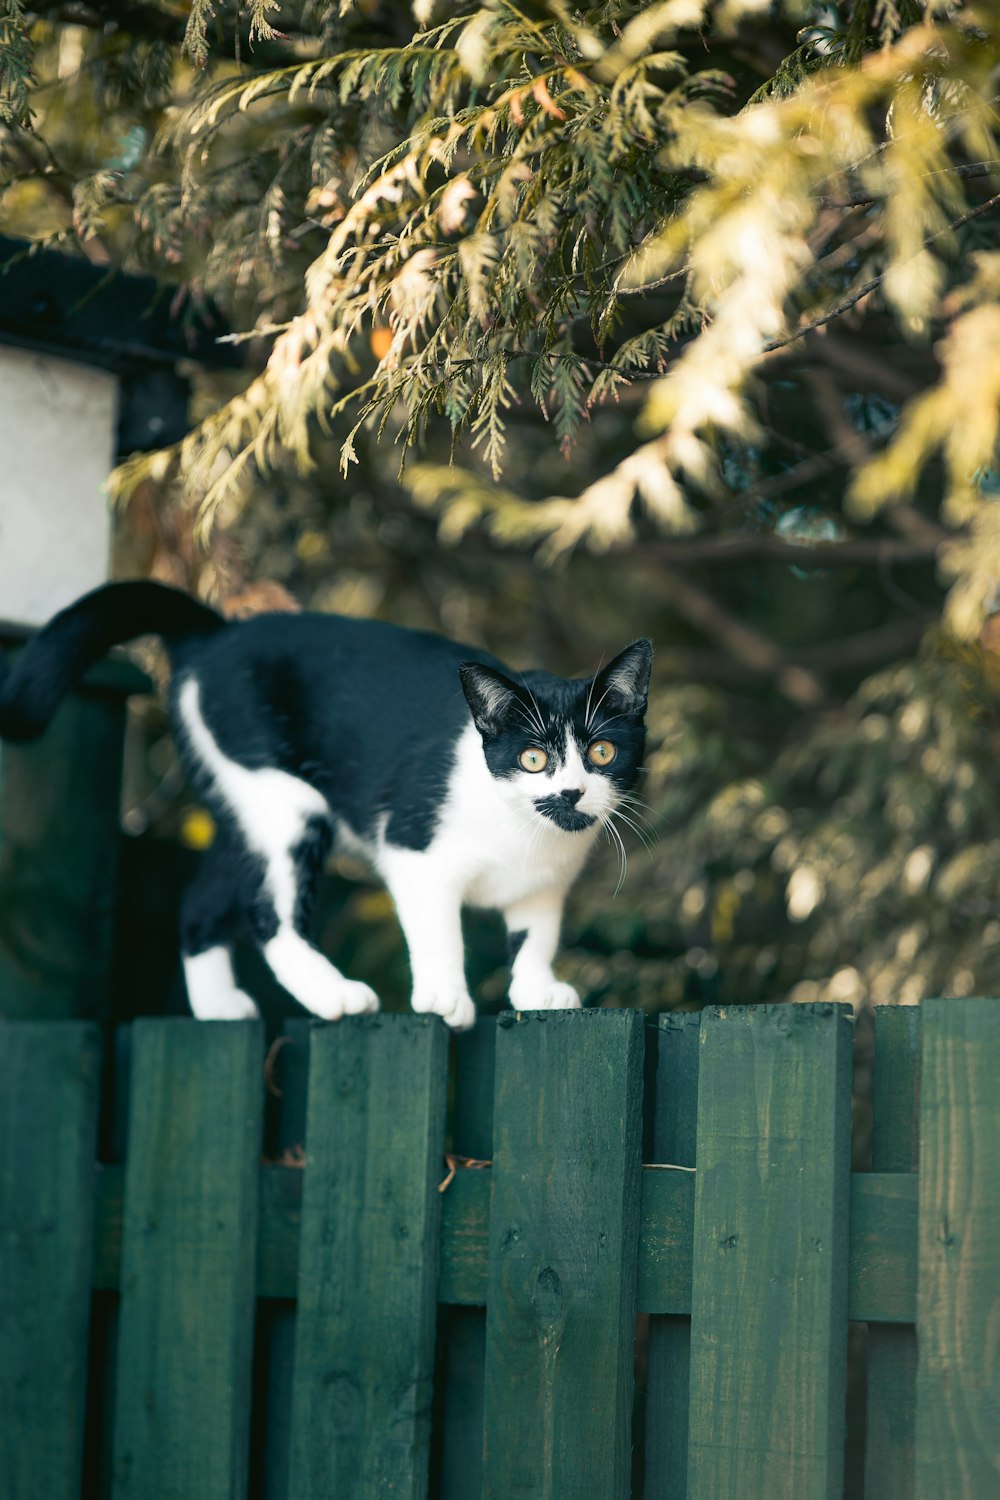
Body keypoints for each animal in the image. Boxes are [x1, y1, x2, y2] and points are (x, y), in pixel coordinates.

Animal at [0, 585, 650, 1032]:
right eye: (534, 758)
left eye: (602, 751)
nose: (572, 792)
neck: (525, 833)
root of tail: (216, 636)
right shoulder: (412, 849)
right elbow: (437, 927)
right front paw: (444, 993)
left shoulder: (544, 887)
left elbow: (535, 935)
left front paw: (536, 989)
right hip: (283, 794)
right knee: (267, 911)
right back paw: (332, 993)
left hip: (246, 799)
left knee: (202, 897)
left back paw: (217, 1006)